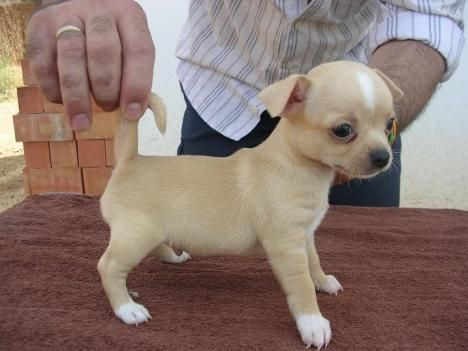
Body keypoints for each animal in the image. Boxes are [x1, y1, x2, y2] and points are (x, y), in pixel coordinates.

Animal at [98, 60, 402, 350]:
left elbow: (313, 261)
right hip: (137, 234)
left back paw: (172, 257)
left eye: (389, 124)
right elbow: (301, 283)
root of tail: (129, 161)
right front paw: (313, 323)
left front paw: (322, 280)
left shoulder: (305, 235)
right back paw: (127, 308)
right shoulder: (287, 245)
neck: (298, 165)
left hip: (148, 232)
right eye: (342, 130)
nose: (383, 157)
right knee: (108, 266)